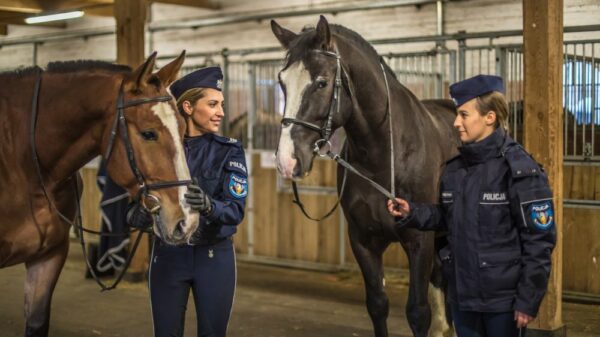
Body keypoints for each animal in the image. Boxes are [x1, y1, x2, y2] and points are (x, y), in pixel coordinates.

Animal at [272, 17, 460, 336]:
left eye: (322, 82)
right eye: (281, 82)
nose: (287, 161)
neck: (384, 155)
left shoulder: (418, 240)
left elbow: (417, 312)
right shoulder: (363, 240)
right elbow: (378, 305)